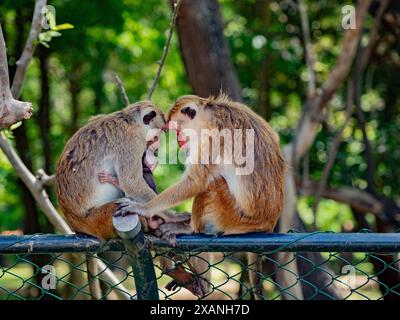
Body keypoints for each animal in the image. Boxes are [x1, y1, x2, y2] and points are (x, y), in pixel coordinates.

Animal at [54, 100, 208, 298]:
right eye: (157, 135)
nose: (156, 147)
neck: (128, 120)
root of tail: (77, 226)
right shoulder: (130, 142)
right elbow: (131, 182)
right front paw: (172, 216)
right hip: (99, 220)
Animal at [114, 94, 286, 298]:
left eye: (177, 128)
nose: (179, 140)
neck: (210, 114)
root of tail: (267, 224)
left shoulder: (211, 138)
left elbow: (195, 182)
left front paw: (144, 208)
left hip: (233, 217)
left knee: (212, 184)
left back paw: (190, 231)